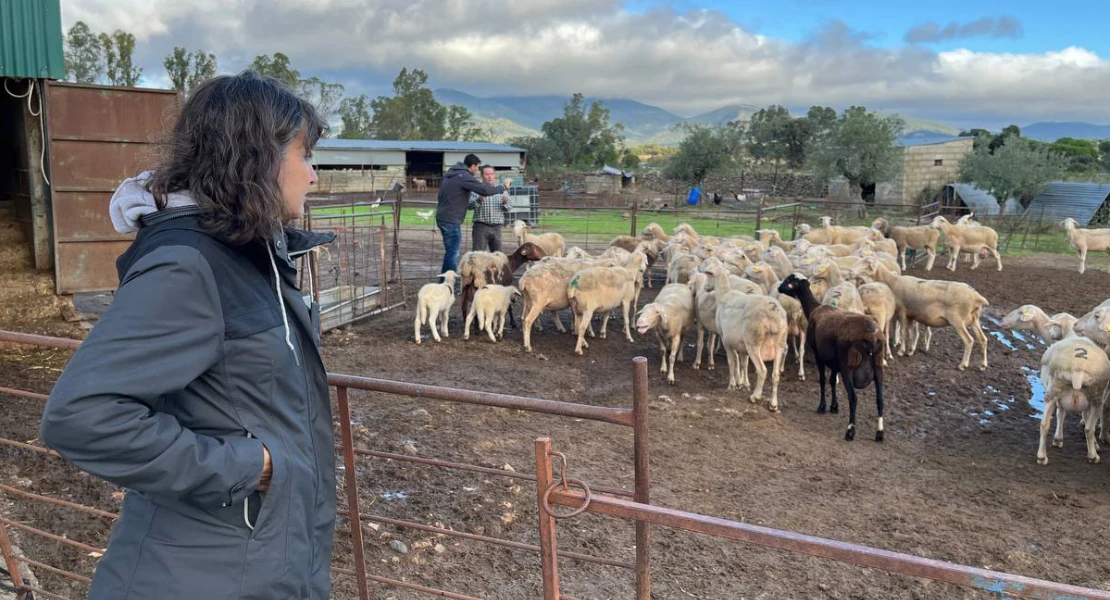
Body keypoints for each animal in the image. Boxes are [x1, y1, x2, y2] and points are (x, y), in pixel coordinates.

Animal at [777, 275, 888, 439]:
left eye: (789, 281)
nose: (779, 288)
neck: (814, 308)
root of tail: (873, 336)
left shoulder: (819, 354)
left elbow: (823, 380)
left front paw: (822, 406)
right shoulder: (834, 360)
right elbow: (832, 381)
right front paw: (834, 406)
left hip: (848, 366)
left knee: (853, 398)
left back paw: (850, 431)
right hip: (878, 366)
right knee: (880, 399)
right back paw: (879, 433)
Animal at [1034, 334, 1105, 465]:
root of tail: (1078, 369)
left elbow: (1061, 414)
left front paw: (1058, 439)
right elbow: (1086, 420)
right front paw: (1095, 446)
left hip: (1054, 389)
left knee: (1044, 423)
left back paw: (1041, 457)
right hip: (1097, 397)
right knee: (1089, 429)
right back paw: (1093, 456)